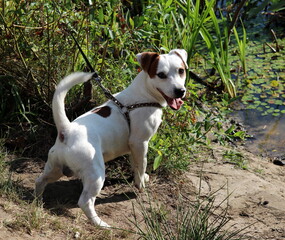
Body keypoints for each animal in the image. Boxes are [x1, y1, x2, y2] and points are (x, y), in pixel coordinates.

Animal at [35, 48, 186, 227]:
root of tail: (67, 130)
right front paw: (140, 185)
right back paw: (100, 224)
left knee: (40, 181)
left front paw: (139, 178)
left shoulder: (133, 148)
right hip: (96, 175)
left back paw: (37, 201)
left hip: (54, 168)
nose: (180, 91)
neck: (143, 95)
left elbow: (135, 165)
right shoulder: (140, 143)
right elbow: (142, 165)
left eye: (181, 71)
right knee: (85, 201)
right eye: (161, 75)